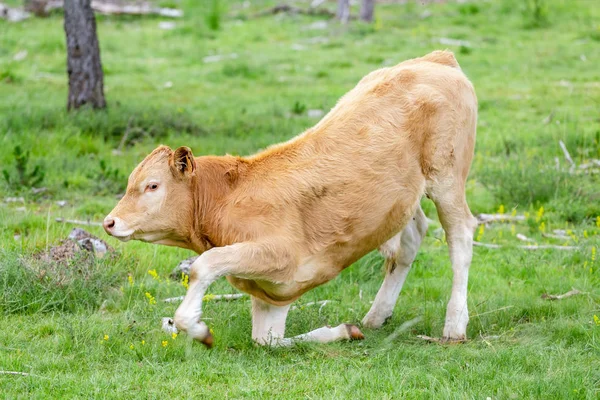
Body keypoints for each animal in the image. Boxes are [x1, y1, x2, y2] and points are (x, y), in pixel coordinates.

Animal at [104, 50, 478, 346]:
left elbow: (204, 265)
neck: (226, 198)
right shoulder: (271, 290)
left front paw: (196, 328)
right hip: (402, 195)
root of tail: (436, 59)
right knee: (410, 238)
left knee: (460, 235)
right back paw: (376, 316)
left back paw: (455, 324)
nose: (109, 222)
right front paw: (343, 331)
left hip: (447, 177)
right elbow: (267, 340)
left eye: (152, 186)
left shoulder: (280, 254)